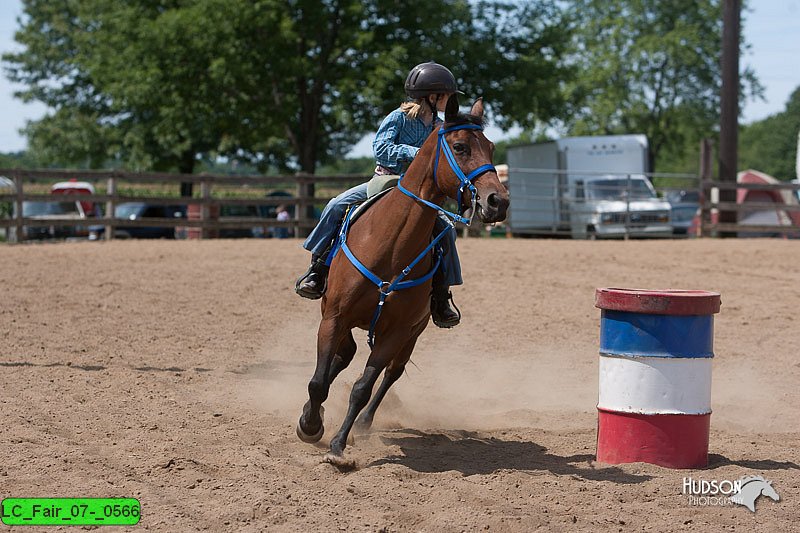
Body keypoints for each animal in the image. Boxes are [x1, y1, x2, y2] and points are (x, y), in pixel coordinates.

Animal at [296, 95, 510, 466]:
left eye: (492, 147)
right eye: (460, 146)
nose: (498, 201)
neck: (391, 247)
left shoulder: (396, 332)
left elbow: (362, 388)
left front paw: (338, 446)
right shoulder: (334, 317)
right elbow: (318, 382)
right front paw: (310, 425)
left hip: (412, 333)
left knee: (389, 374)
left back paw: (365, 423)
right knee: (342, 358)